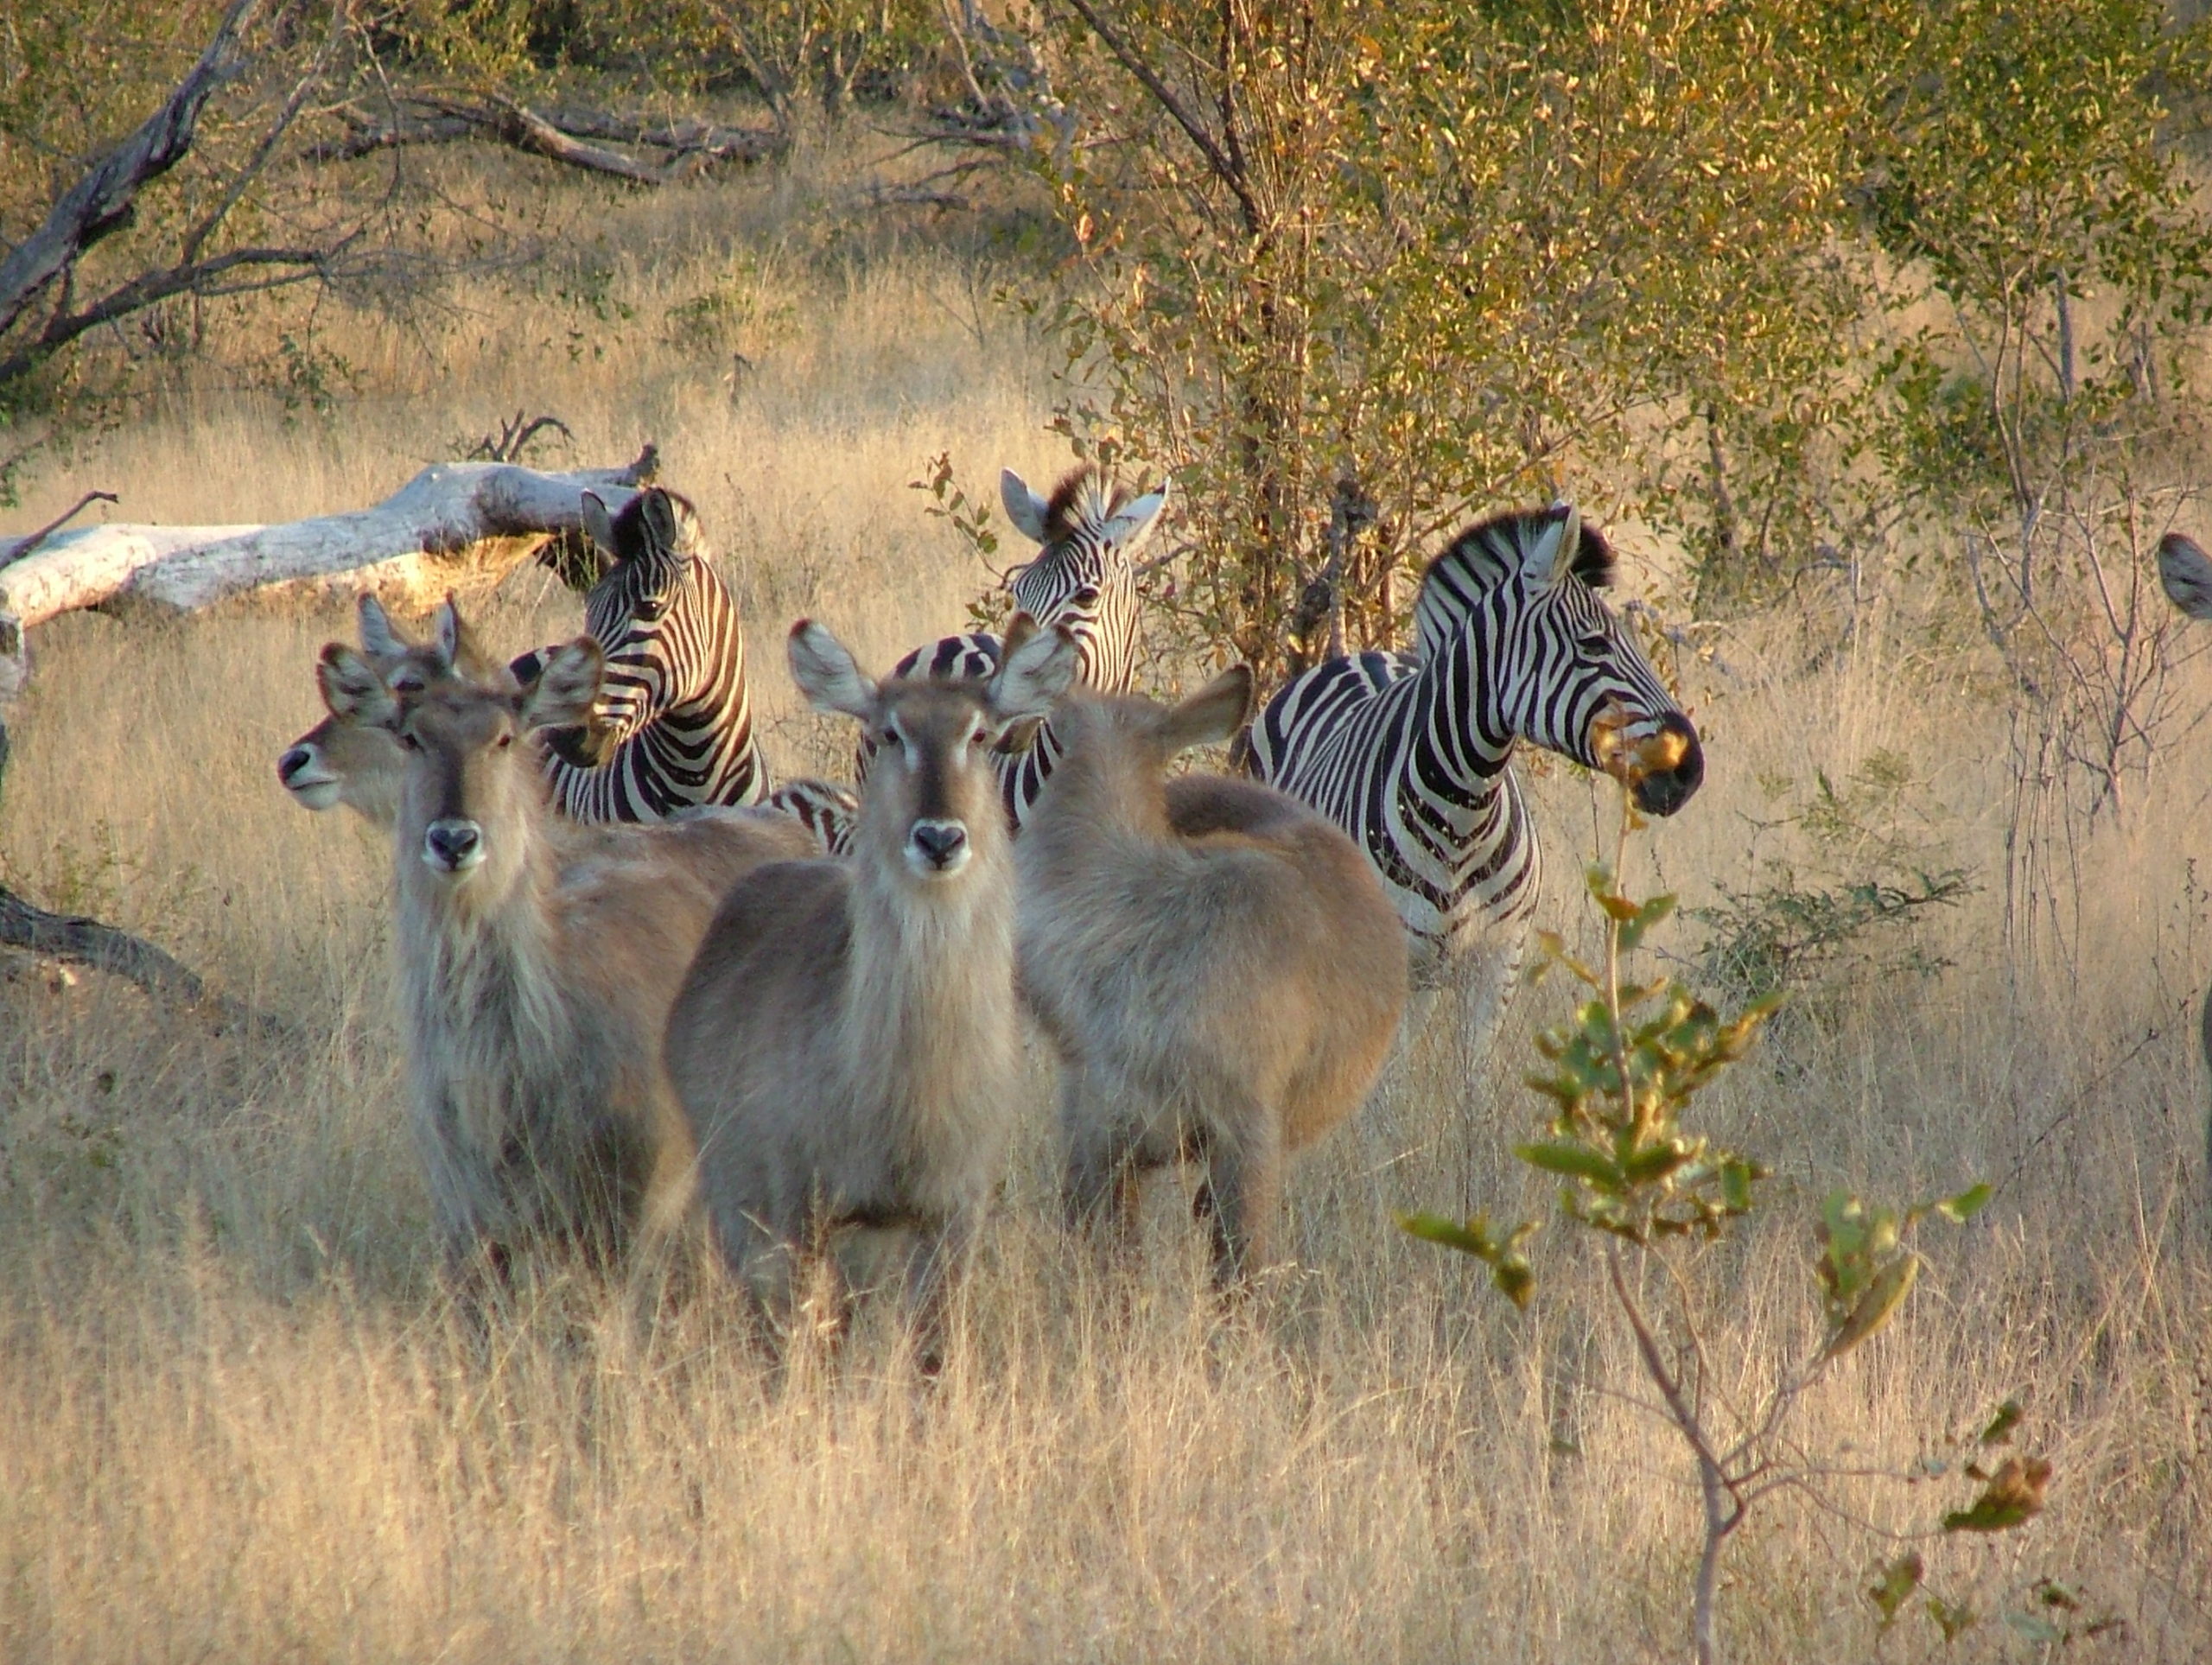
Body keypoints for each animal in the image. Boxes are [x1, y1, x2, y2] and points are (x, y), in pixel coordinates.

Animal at [663, 616, 1077, 1361]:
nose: (939, 837)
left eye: (980, 734)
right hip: (740, 1200)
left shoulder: (951, 1215)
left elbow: (931, 1354)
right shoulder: (800, 1208)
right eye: (890, 733)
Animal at [1247, 502, 1704, 1059]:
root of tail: (1362, 655)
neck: (1461, 809)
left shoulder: (1497, 964)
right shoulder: (1392, 963)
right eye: (1594, 644)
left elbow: (1474, 1075)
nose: (1690, 769)